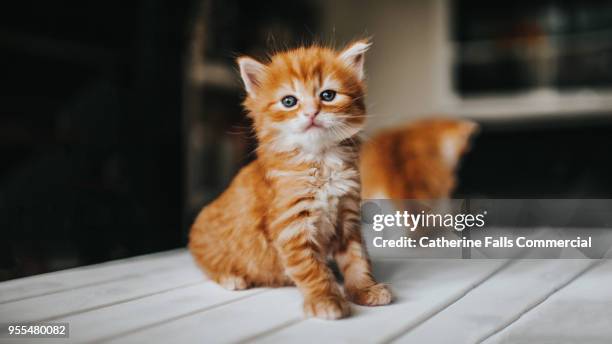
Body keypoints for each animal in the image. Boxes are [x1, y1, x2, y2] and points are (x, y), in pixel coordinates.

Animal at [189, 41, 392, 320]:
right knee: (210, 264)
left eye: (328, 96)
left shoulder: (348, 218)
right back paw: (232, 277)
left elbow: (357, 260)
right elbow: (311, 269)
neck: (321, 161)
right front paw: (325, 299)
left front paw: (364, 289)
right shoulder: (291, 225)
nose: (311, 113)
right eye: (289, 101)